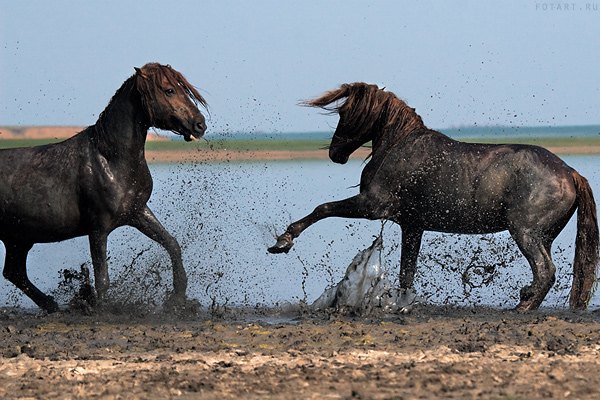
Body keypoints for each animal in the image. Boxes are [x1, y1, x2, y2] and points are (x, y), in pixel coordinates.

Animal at [0, 63, 206, 312]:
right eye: (169, 90)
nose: (200, 124)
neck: (111, 159)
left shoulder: (137, 212)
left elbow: (172, 244)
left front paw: (177, 298)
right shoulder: (98, 227)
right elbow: (102, 277)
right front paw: (101, 309)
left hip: (18, 239)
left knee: (14, 273)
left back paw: (52, 305)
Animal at [270, 83, 596, 310]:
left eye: (347, 113)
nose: (335, 153)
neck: (398, 147)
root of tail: (571, 173)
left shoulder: (372, 207)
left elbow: (322, 208)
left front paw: (283, 241)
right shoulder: (412, 225)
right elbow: (407, 273)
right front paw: (400, 304)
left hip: (525, 232)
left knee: (545, 271)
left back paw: (523, 306)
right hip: (543, 236)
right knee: (545, 272)